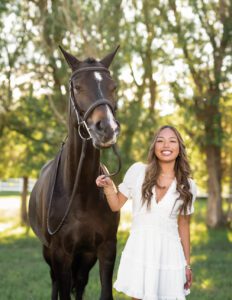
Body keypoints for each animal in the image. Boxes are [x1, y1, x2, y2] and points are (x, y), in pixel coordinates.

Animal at [28, 45, 120, 300]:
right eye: (77, 87)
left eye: (113, 87)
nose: (107, 129)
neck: (80, 192)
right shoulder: (61, 254)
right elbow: (62, 290)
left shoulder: (106, 249)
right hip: (49, 253)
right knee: (56, 284)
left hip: (85, 257)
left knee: (79, 284)